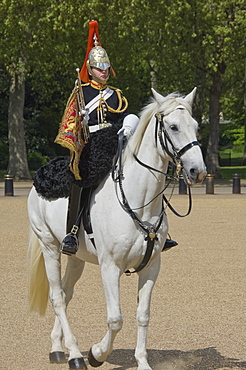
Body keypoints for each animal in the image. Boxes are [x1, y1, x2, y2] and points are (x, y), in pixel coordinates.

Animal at [27, 87, 207, 370]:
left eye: (196, 126)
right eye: (173, 127)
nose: (197, 171)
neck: (139, 202)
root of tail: (38, 179)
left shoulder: (151, 266)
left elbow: (143, 315)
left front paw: (142, 362)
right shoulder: (110, 267)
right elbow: (115, 319)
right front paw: (97, 353)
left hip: (76, 257)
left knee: (66, 294)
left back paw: (58, 347)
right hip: (49, 247)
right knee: (57, 296)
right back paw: (75, 355)